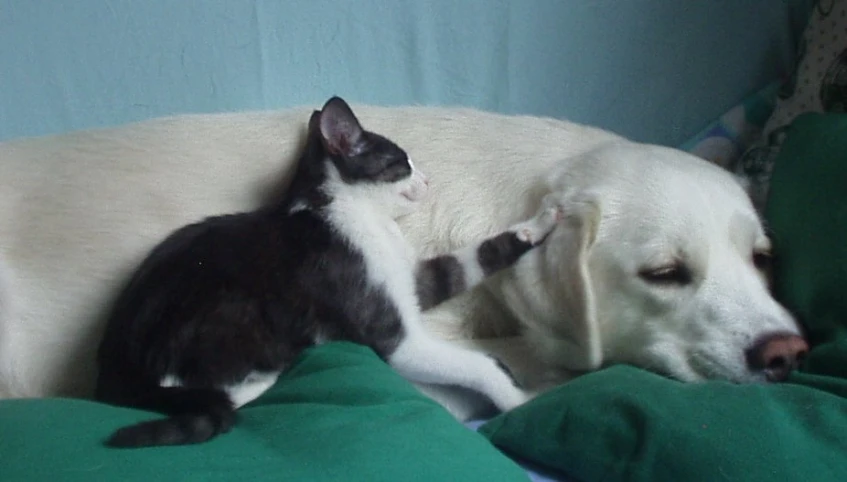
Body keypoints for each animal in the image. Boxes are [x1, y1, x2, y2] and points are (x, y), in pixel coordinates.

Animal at [94, 95, 564, 448]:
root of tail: (114, 372)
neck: (360, 216)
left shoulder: (414, 282)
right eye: (402, 163)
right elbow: (482, 365)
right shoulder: (392, 336)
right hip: (231, 315)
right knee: (216, 391)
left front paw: (540, 223)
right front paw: (522, 400)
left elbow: (469, 260)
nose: (430, 181)